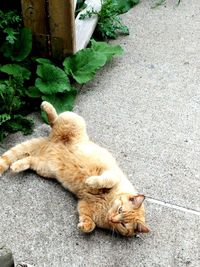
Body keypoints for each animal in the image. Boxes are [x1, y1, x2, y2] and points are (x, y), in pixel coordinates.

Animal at [0, 101, 150, 238]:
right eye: (120, 209)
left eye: (123, 224)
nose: (112, 218)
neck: (106, 203)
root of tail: (49, 143)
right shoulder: (112, 173)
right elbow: (105, 180)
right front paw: (91, 181)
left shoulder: (84, 205)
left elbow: (90, 224)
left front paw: (84, 226)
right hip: (73, 120)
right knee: (54, 120)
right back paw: (46, 106)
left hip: (44, 168)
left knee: (30, 160)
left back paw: (17, 166)